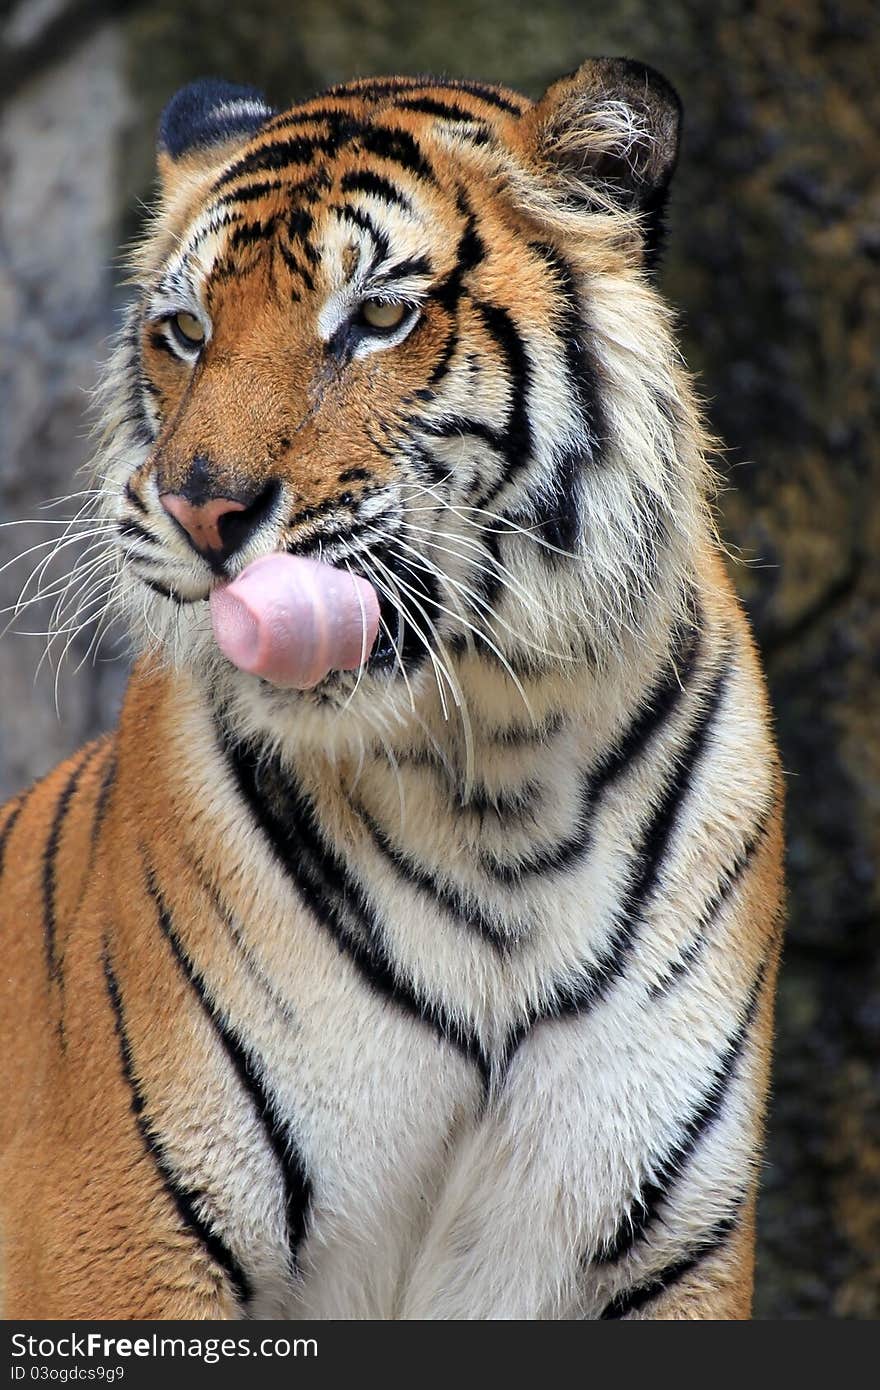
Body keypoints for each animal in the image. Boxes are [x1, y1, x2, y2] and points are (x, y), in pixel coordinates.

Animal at [0, 56, 784, 1312]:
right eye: (186, 331)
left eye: (375, 317)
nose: (198, 508)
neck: (495, 784)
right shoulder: (125, 1239)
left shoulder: (665, 1251)